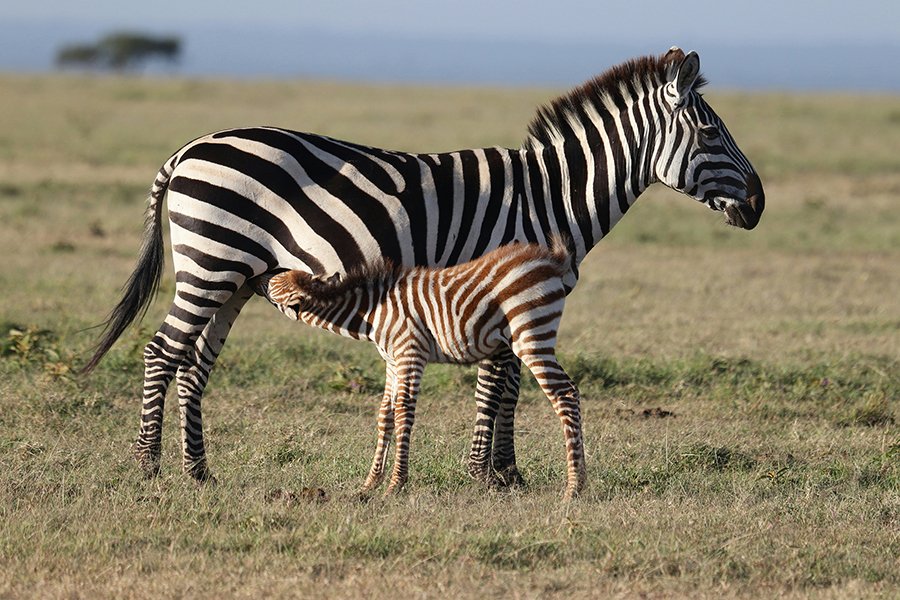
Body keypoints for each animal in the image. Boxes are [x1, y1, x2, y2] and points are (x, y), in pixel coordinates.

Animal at [256, 237, 588, 500]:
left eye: (273, 285)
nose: (260, 273)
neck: (372, 313)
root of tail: (550, 260)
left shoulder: (409, 353)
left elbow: (404, 412)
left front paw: (395, 485)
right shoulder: (392, 361)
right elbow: (385, 414)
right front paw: (370, 483)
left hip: (531, 335)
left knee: (565, 394)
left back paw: (574, 488)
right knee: (568, 392)